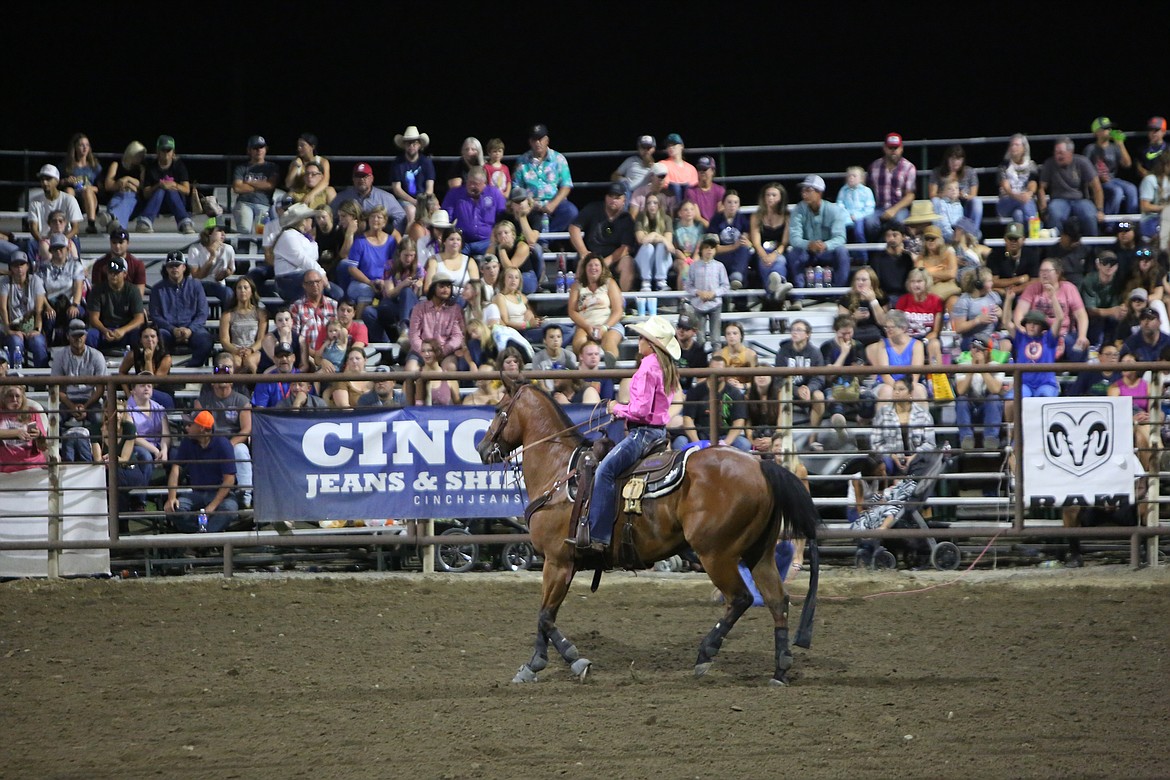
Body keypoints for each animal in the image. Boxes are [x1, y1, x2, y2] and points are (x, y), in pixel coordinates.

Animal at [477, 374, 823, 687]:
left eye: (498, 409)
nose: (482, 448)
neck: (560, 472)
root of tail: (760, 466)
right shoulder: (561, 563)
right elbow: (544, 614)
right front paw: (537, 664)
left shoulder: (557, 561)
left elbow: (545, 616)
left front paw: (568, 662)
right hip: (758, 553)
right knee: (778, 601)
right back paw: (780, 670)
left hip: (717, 554)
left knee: (740, 598)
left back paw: (705, 655)